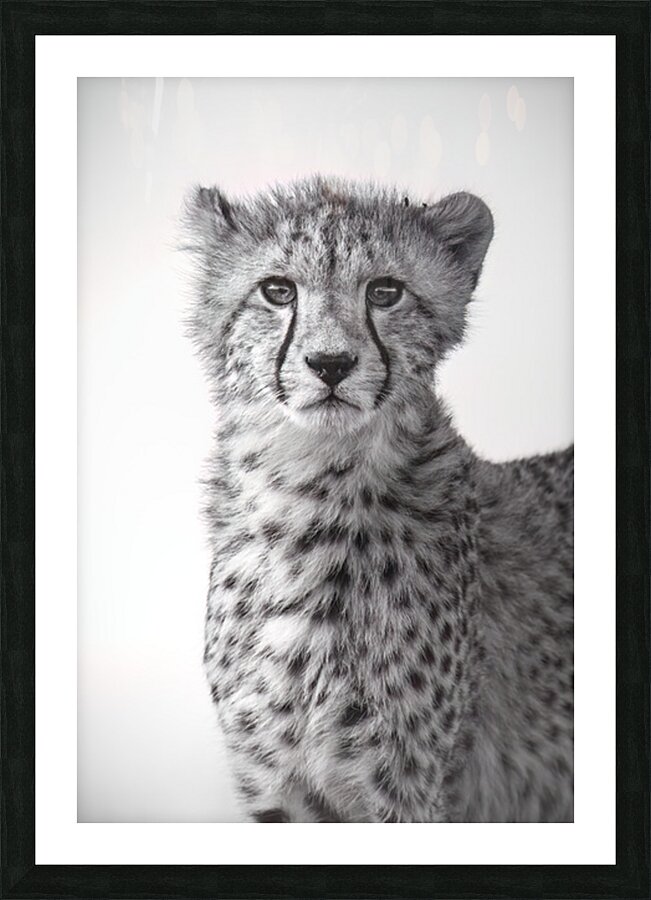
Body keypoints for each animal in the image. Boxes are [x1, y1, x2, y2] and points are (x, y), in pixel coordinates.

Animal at [182, 175, 573, 823]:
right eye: (277, 290)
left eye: (385, 292)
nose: (331, 363)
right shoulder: (277, 787)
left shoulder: (408, 791)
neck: (311, 492)